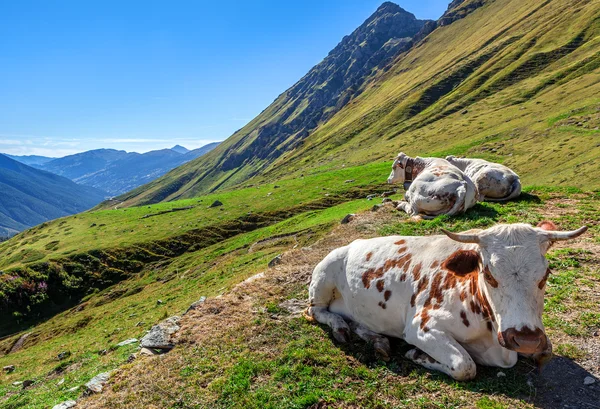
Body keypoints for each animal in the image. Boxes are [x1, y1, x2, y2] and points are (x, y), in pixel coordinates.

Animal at [308, 220, 588, 380]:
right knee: (316, 312)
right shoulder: (422, 326)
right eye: (489, 274)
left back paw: (378, 340)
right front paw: (418, 355)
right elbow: (465, 366)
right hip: (323, 276)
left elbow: (546, 351)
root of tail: (352, 243)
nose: (525, 339)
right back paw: (340, 328)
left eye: (546, 274)